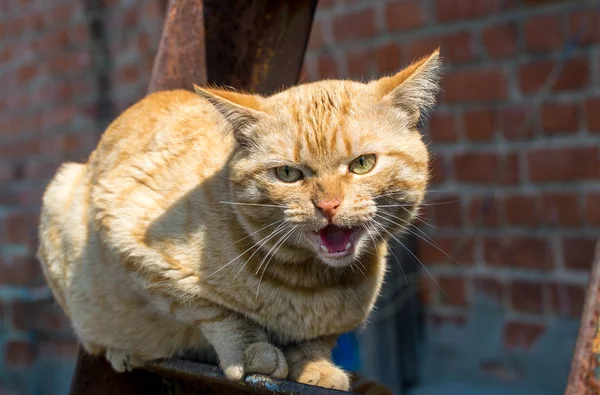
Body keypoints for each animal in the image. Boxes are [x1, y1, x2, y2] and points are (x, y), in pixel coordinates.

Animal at [36, 49, 440, 390]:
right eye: (288, 174)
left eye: (362, 164)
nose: (328, 205)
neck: (311, 285)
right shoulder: (131, 241)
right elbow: (216, 311)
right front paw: (252, 352)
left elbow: (317, 341)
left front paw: (315, 367)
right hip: (61, 199)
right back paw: (123, 349)